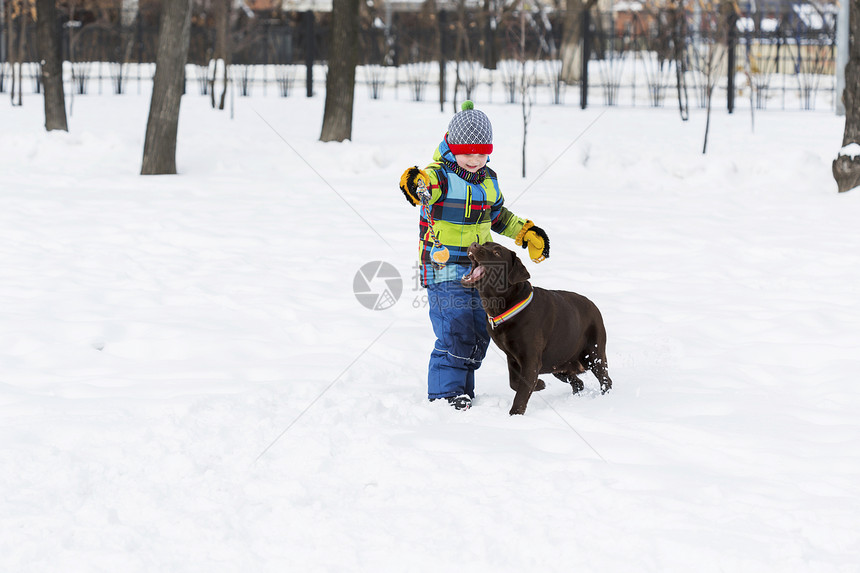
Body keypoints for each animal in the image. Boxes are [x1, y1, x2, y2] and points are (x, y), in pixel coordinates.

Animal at [464, 239, 612, 414]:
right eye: (485, 244)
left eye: (497, 253)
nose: (474, 244)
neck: (505, 306)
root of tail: (595, 306)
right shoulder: (512, 358)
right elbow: (514, 383)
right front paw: (540, 384)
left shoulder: (531, 360)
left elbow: (521, 393)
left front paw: (515, 414)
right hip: (558, 362)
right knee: (578, 383)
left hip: (593, 354)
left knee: (605, 380)